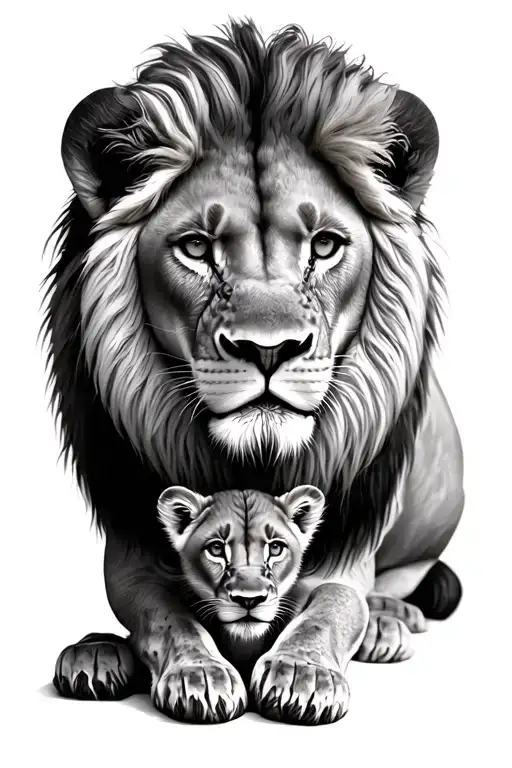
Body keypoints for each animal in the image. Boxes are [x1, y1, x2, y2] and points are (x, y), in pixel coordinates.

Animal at [45, 20, 464, 725]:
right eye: (195, 247)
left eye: (325, 245)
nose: (269, 349)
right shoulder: (132, 554)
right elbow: (165, 618)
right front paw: (194, 671)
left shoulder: (342, 558)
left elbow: (331, 609)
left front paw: (304, 673)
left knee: (400, 577)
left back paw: (389, 619)